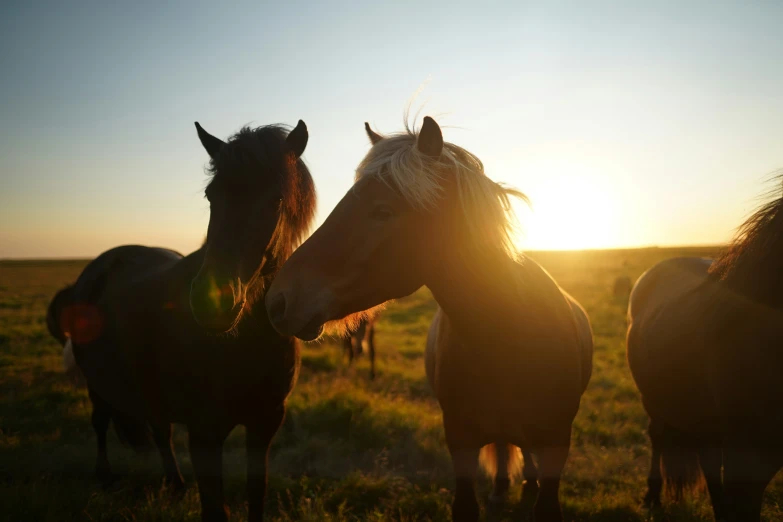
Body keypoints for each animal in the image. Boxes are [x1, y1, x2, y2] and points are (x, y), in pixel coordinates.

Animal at [56, 119, 316, 520]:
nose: (212, 301)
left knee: (160, 431)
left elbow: (257, 494)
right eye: (211, 195)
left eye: (276, 199)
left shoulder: (265, 423)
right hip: (97, 384)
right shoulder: (205, 433)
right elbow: (215, 508)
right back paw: (106, 477)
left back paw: (176, 485)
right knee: (100, 422)